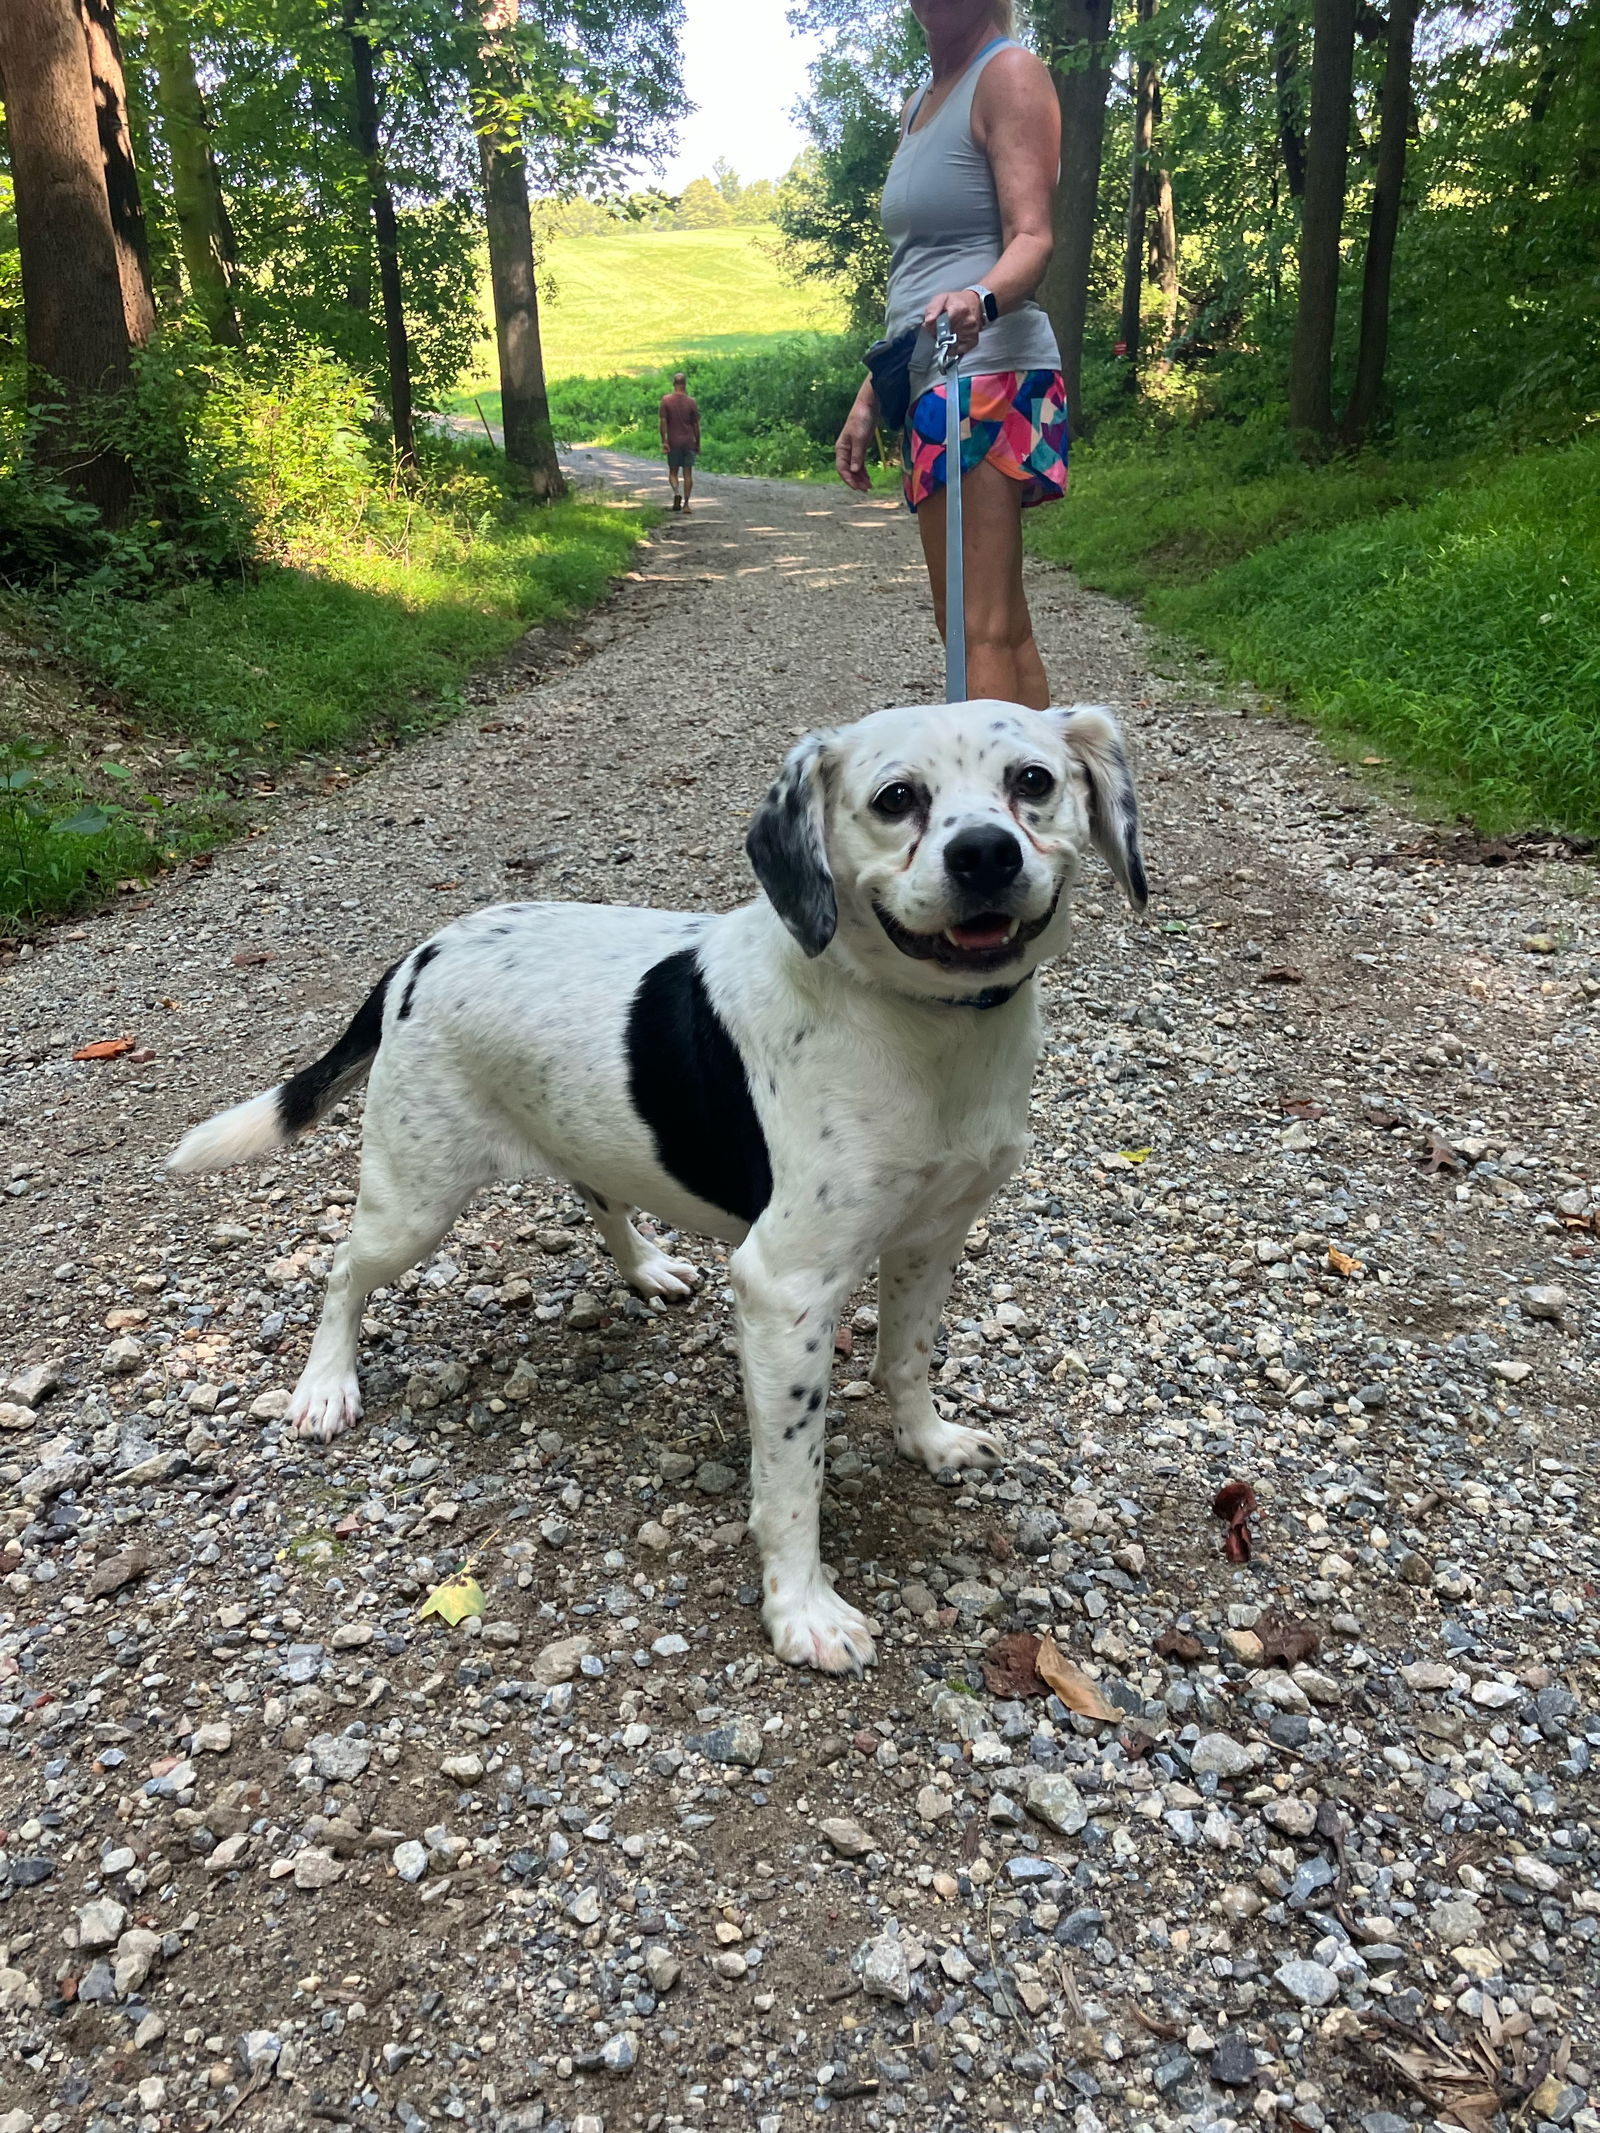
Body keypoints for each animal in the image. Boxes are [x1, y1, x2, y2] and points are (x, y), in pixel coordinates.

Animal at [169, 699, 1143, 1663]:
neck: (926, 1026)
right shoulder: (785, 1292)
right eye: (896, 797)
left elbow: (906, 1358)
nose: (985, 852)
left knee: (595, 1190)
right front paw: (803, 1609)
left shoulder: (932, 1236)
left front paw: (928, 1441)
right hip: (415, 1198)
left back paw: (644, 1267)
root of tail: (417, 956)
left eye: (1033, 781)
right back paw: (325, 1385)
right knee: (343, 1271)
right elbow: (793, 1478)